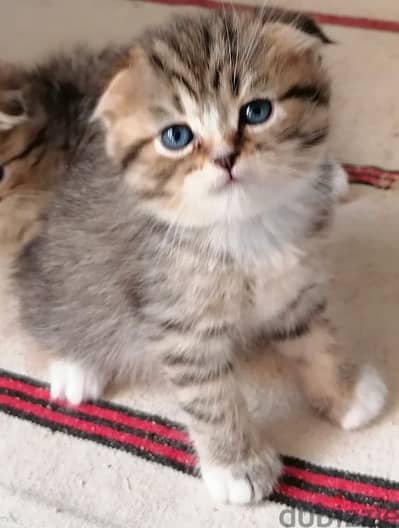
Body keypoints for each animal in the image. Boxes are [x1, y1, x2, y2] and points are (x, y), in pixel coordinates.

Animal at [14, 8, 386, 504]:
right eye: (177, 136)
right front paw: (238, 466)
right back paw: (76, 368)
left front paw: (344, 393)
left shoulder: (295, 290)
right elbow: (212, 400)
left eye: (257, 111)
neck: (244, 228)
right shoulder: (181, 326)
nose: (226, 157)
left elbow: (317, 343)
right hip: (64, 284)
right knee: (53, 317)